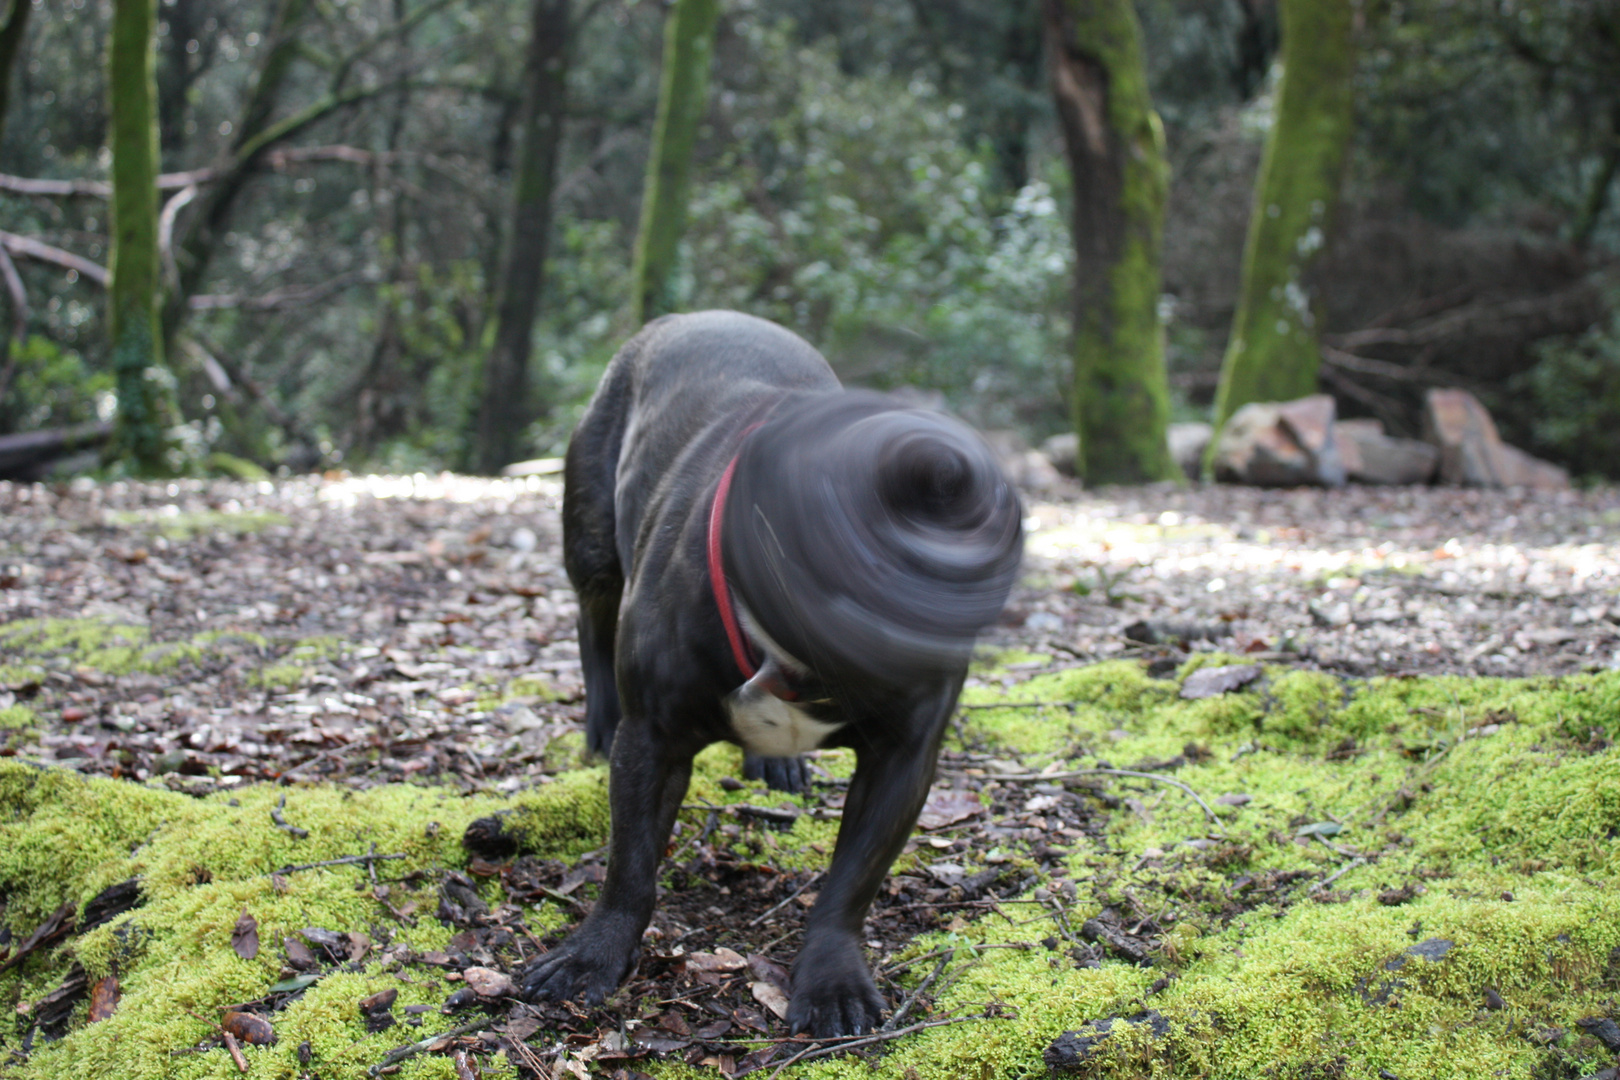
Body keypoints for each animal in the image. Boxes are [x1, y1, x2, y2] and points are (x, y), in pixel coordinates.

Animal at [518, 307, 1023, 1036]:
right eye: (847, 539)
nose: (935, 611)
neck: (796, 663)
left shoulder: (903, 762)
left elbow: (851, 883)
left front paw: (833, 977)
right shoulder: (651, 741)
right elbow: (631, 865)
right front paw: (594, 955)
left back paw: (776, 764)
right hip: (592, 542)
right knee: (592, 619)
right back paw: (598, 723)